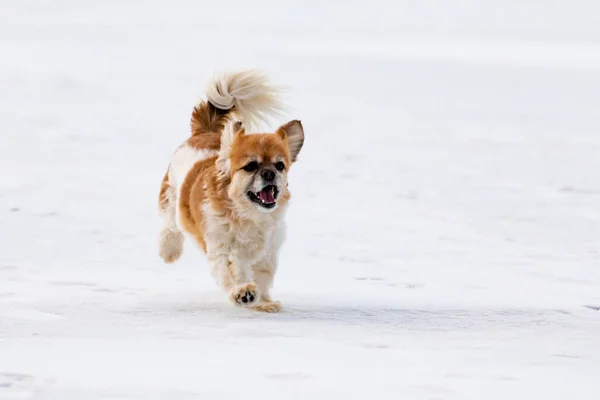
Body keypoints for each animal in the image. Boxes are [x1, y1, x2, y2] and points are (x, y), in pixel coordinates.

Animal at [157, 69, 304, 312]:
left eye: (280, 165)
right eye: (251, 166)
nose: (269, 174)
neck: (249, 216)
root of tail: (205, 132)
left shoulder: (268, 252)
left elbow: (262, 277)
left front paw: (263, 302)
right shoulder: (221, 248)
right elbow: (232, 271)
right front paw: (243, 293)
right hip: (171, 194)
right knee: (170, 224)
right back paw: (169, 250)